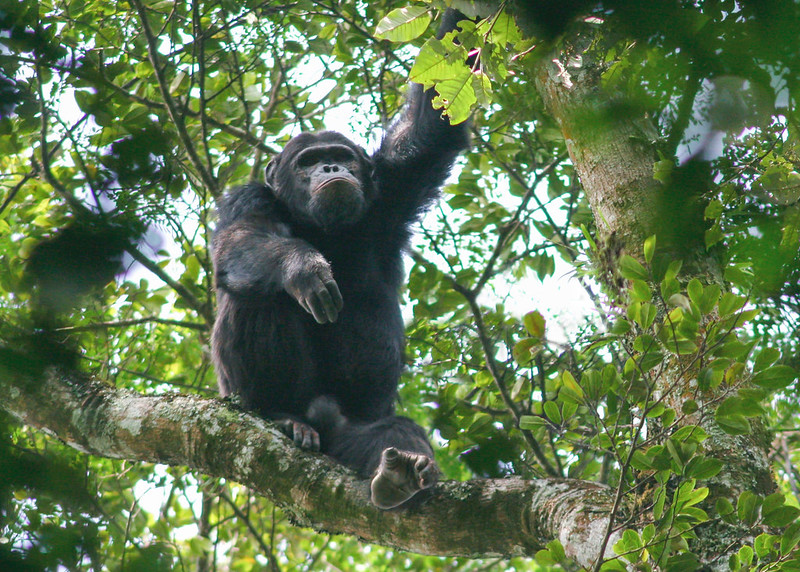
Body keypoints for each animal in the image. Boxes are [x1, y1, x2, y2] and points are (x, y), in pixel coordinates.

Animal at [212, 10, 472, 510]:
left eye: (339, 157)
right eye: (308, 161)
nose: (331, 169)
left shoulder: (393, 187)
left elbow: (430, 125)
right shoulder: (247, 199)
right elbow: (240, 240)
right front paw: (302, 268)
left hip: (354, 434)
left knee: (393, 431)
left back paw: (400, 474)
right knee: (256, 297)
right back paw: (284, 417)